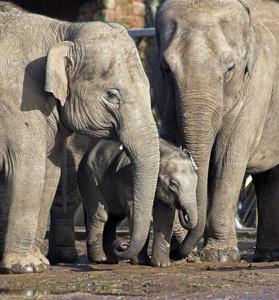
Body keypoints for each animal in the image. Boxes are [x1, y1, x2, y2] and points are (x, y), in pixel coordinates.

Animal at [77, 138, 198, 268]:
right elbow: (135, 212)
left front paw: (162, 265)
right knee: (101, 215)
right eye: (173, 184)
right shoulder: (128, 178)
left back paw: (111, 260)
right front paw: (140, 263)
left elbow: (164, 217)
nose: (123, 244)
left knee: (113, 219)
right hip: (88, 178)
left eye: (196, 180)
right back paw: (99, 259)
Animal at [153, 0, 279, 262]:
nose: (181, 254)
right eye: (166, 68)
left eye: (230, 68)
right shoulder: (167, 96)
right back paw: (266, 256)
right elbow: (170, 142)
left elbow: (228, 155)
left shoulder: (257, 85)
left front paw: (220, 256)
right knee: (268, 176)